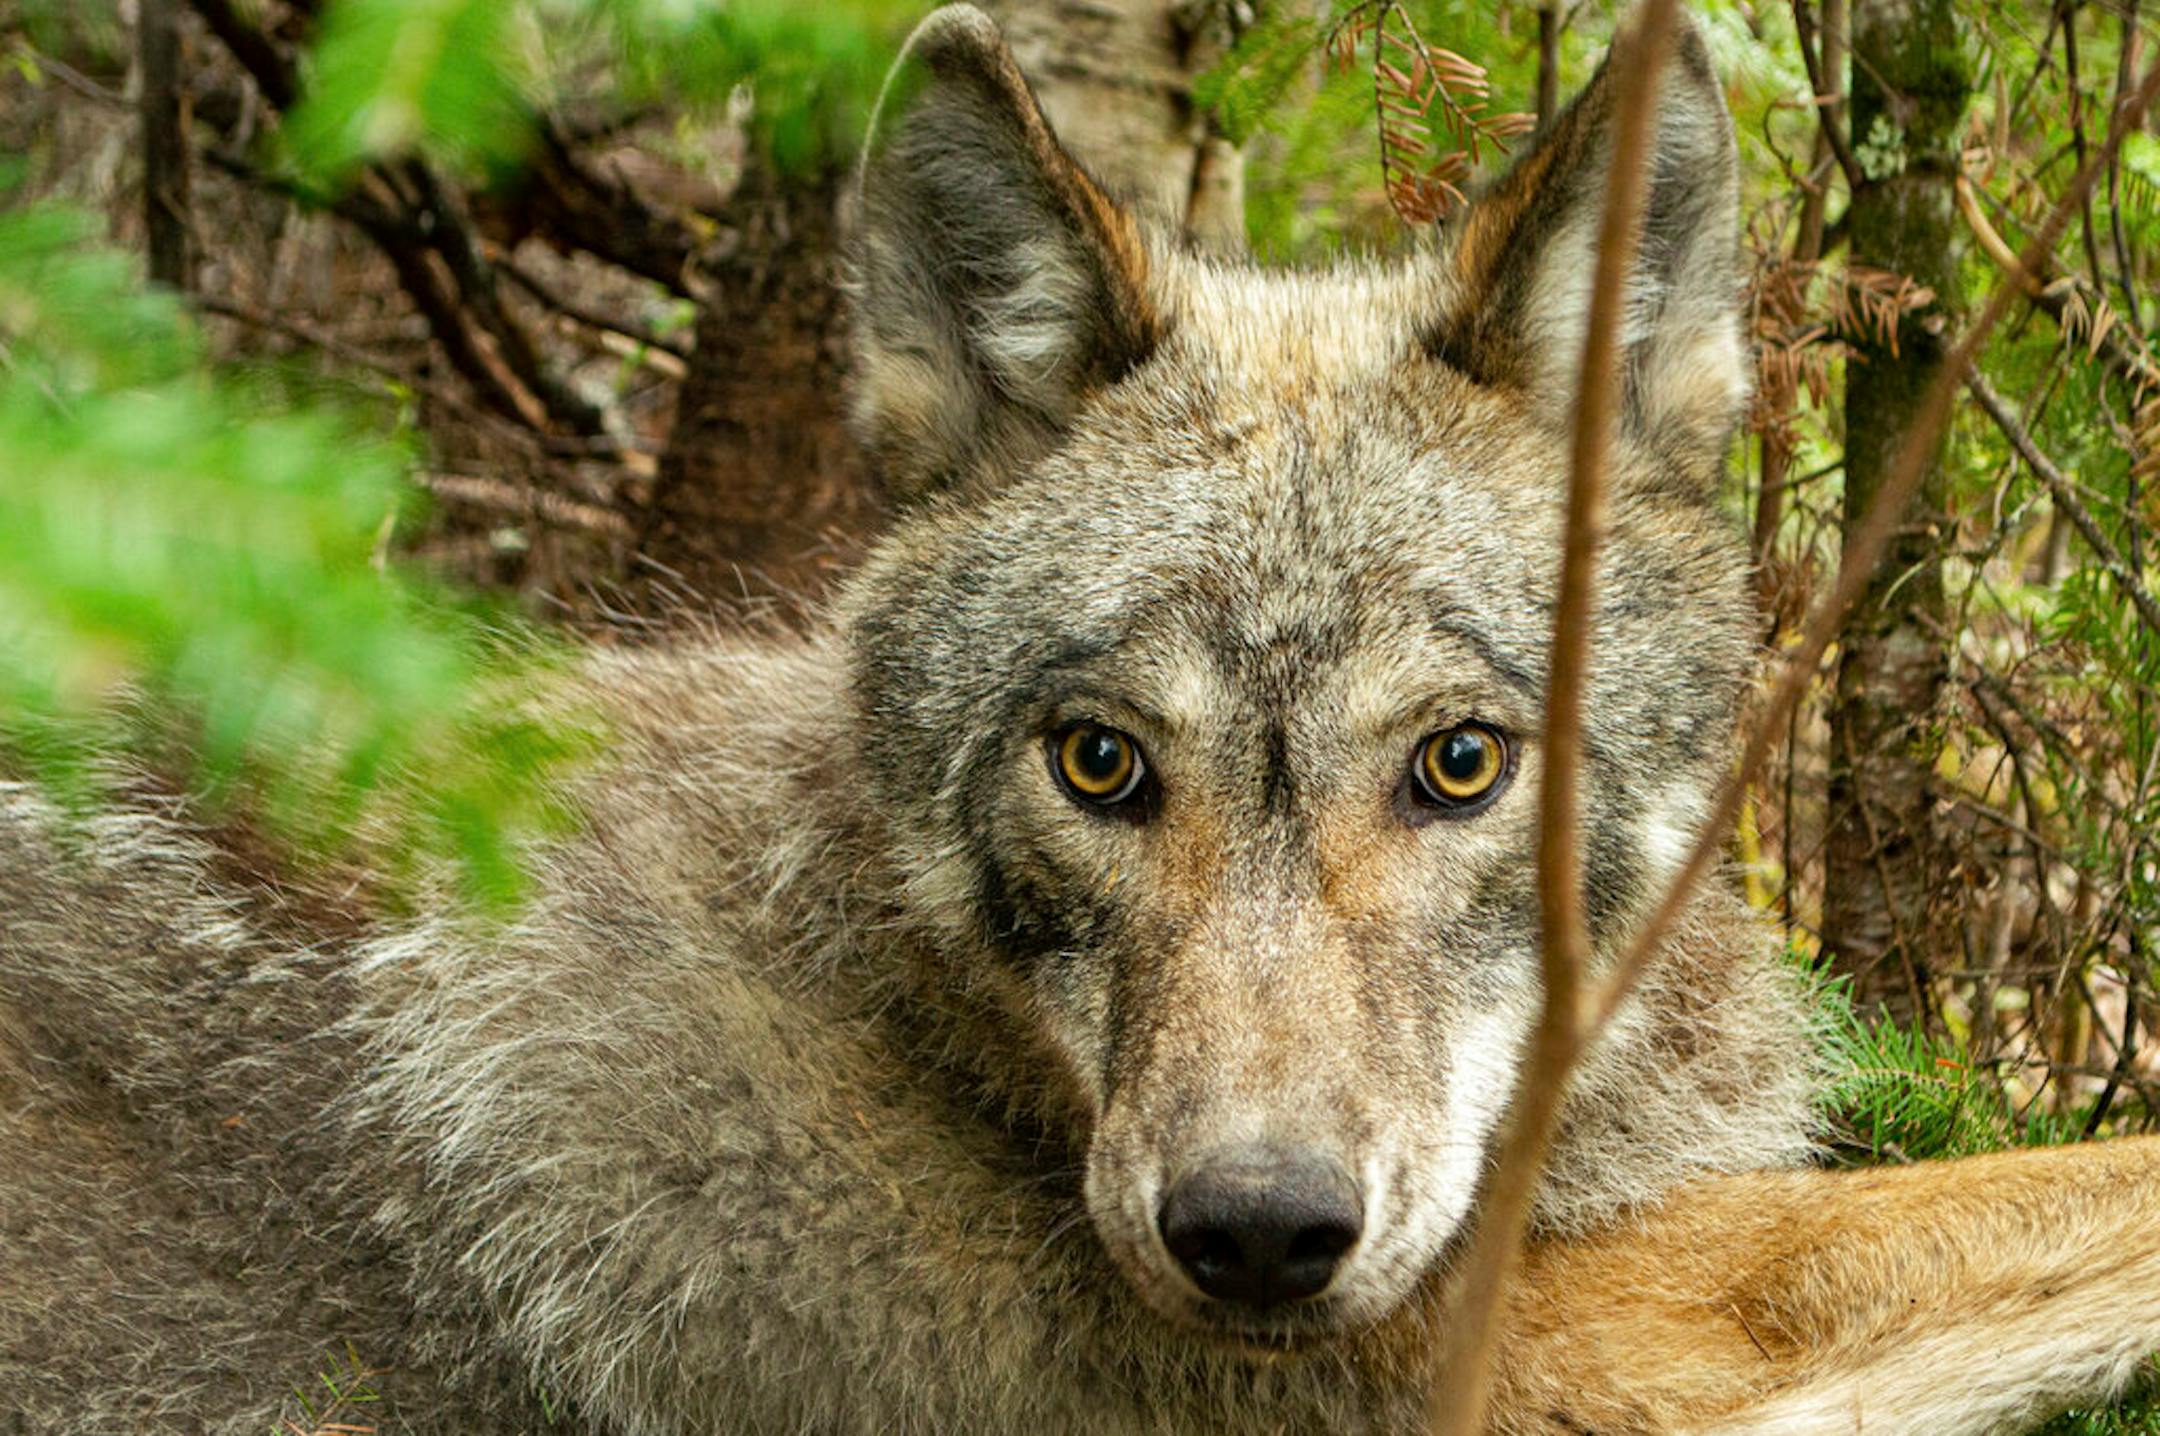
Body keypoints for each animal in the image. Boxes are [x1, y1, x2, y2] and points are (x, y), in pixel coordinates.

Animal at [2, 7, 2157, 1433]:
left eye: (1459, 762)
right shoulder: (1534, 1350)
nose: (1256, 1238)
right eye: (1101, 760)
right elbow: (2039, 1197)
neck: (943, 1031)